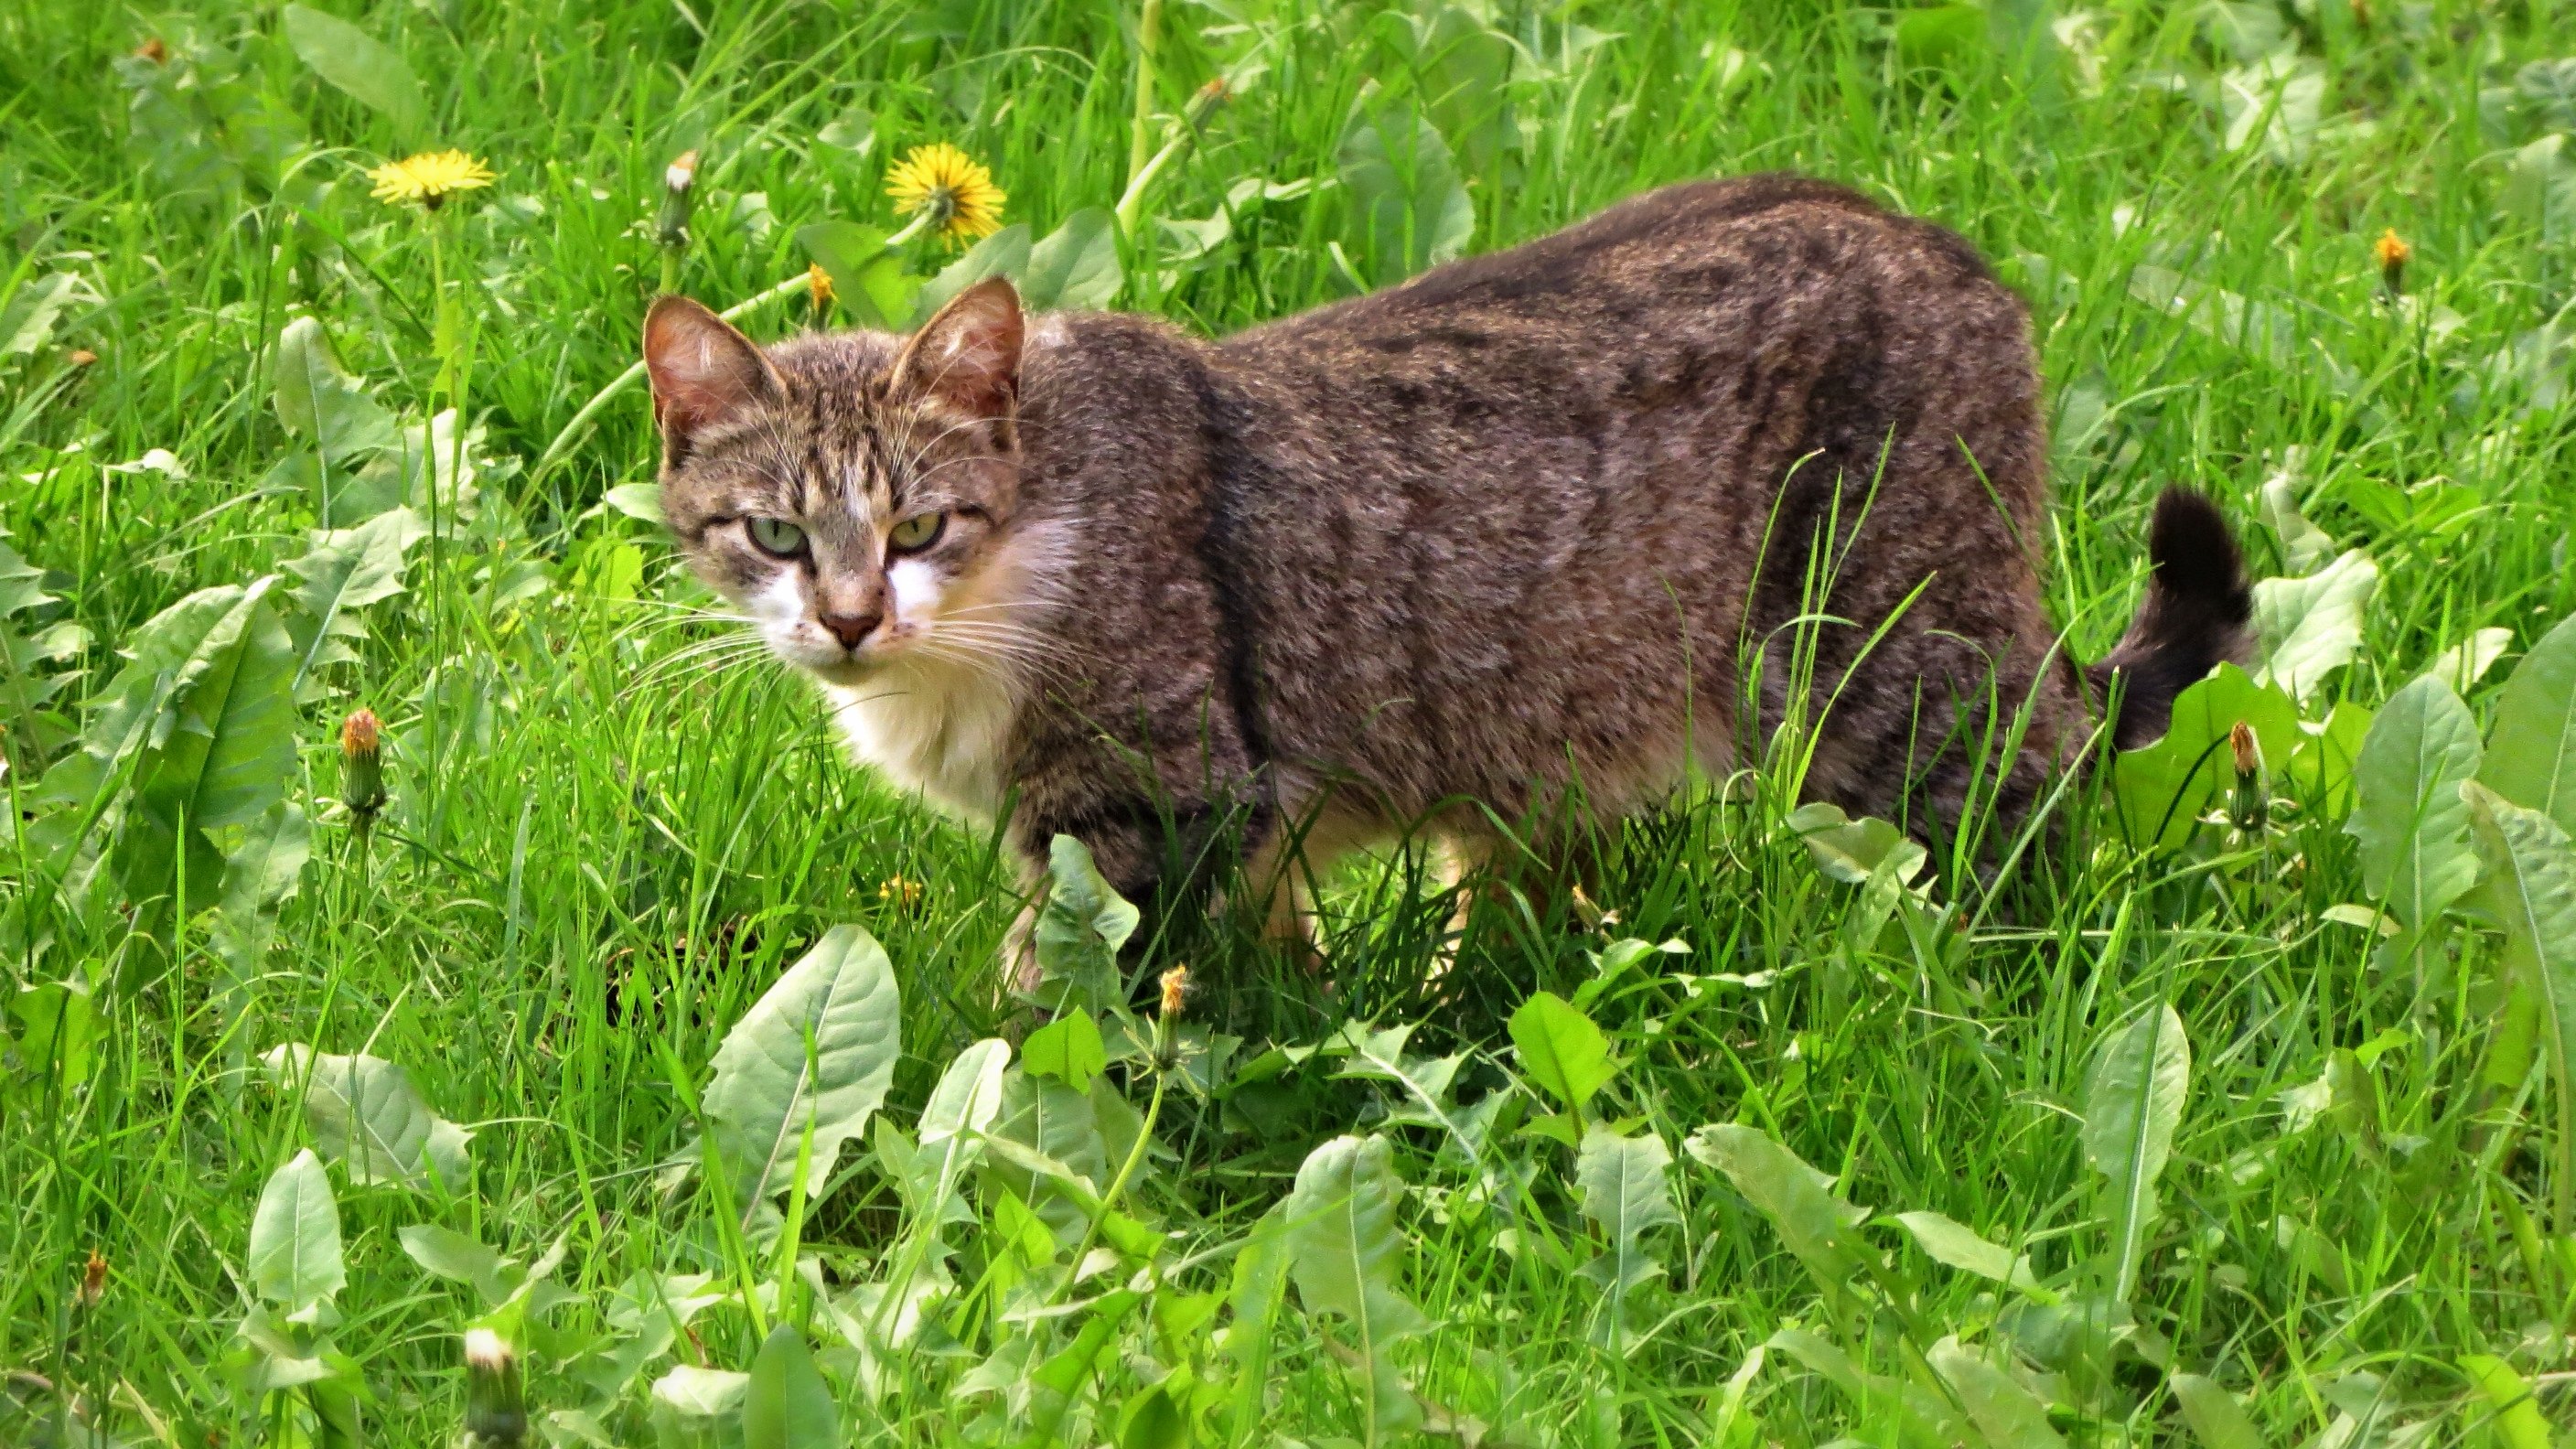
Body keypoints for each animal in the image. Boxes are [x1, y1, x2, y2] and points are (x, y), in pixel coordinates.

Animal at [649, 175, 2256, 974]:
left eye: (920, 528)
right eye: (777, 536)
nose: (849, 617)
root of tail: (1947, 248)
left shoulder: (1156, 801)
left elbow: (1056, 1003)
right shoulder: (1243, 829)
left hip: (1880, 663)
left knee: (2027, 797)